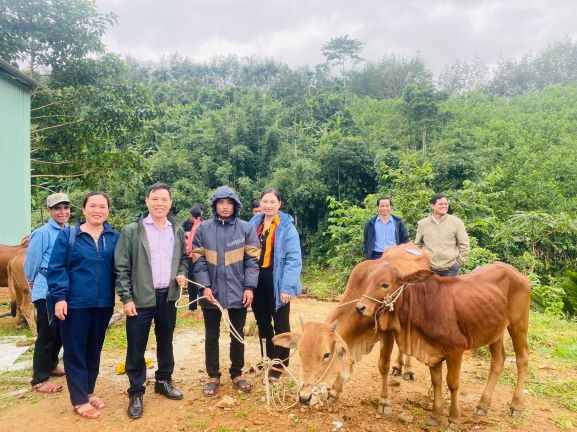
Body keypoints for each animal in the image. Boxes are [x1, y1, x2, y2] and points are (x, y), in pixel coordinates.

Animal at [272, 245, 430, 410]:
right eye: (300, 354)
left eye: (326, 355)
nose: (304, 397)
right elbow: (348, 360)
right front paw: (334, 392)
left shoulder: (388, 334)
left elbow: (383, 366)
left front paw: (384, 400)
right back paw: (398, 367)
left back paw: (408, 370)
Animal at [354, 262, 528, 426]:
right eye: (370, 281)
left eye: (385, 284)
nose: (360, 307)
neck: (424, 305)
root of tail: (515, 271)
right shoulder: (432, 352)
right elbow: (436, 382)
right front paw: (435, 416)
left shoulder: (456, 349)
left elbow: (453, 383)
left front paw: (454, 419)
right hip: (495, 331)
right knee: (498, 360)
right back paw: (482, 405)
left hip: (518, 325)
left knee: (522, 359)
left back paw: (516, 405)